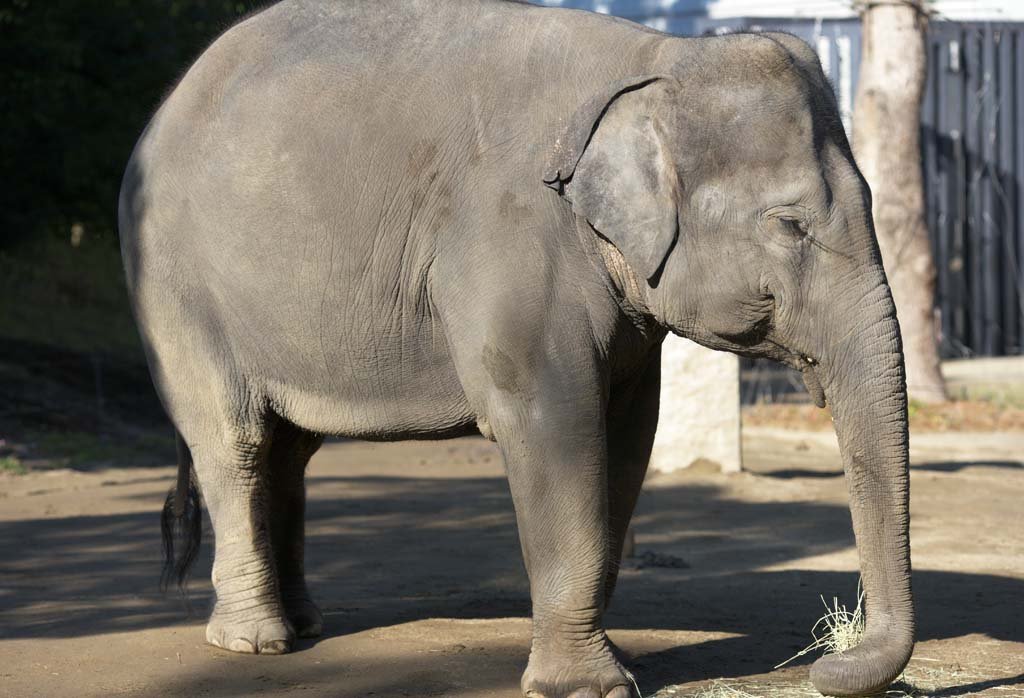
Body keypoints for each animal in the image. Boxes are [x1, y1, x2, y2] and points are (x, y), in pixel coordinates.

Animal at [118, 1, 915, 696]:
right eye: (790, 225)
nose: (827, 662)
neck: (656, 59)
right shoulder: (513, 235)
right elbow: (554, 427)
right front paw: (584, 688)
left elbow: (628, 437)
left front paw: (617, 664)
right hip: (175, 289)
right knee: (236, 443)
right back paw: (256, 641)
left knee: (291, 450)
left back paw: (306, 622)